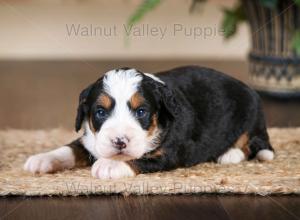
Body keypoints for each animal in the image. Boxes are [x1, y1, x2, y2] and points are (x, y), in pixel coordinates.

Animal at [24, 65, 276, 179]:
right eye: (100, 112)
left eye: (141, 111)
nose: (119, 141)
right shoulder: (91, 139)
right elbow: (71, 148)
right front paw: (43, 159)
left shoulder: (170, 153)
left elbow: (139, 158)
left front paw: (109, 165)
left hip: (251, 115)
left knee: (252, 144)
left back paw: (230, 154)